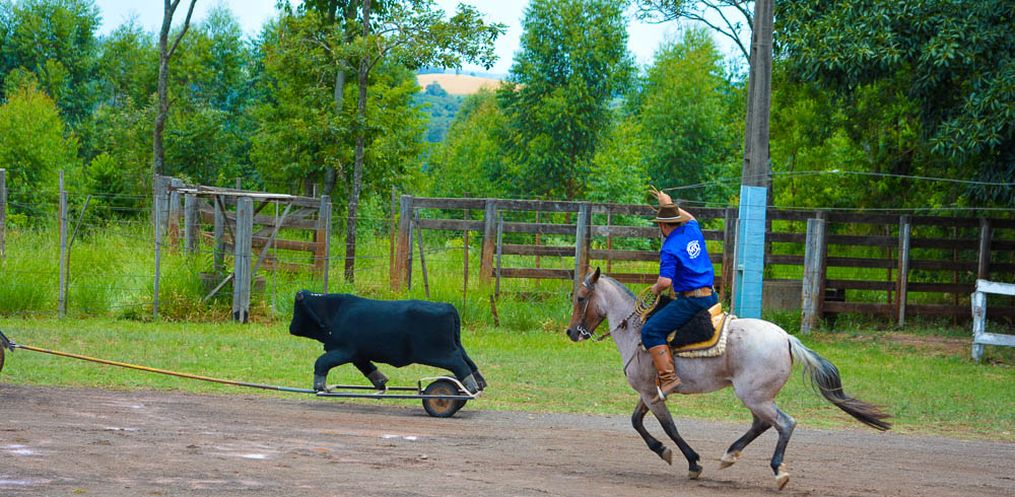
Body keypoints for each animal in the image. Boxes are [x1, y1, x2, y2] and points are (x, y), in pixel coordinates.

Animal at [288, 290, 486, 394]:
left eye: (297, 310)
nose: (291, 327)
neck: (336, 311)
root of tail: (448, 307)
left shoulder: (344, 350)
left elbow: (322, 362)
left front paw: (319, 386)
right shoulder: (358, 354)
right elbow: (367, 367)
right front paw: (381, 382)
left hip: (441, 353)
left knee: (459, 364)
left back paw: (471, 387)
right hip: (456, 347)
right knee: (469, 362)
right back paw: (478, 384)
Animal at [564, 268, 890, 490]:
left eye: (580, 297)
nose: (570, 333)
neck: (636, 330)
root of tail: (787, 338)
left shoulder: (650, 392)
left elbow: (669, 427)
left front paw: (692, 461)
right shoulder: (649, 392)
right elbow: (636, 422)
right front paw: (666, 452)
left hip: (754, 396)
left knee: (784, 423)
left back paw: (778, 471)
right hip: (757, 397)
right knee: (762, 424)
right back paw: (730, 456)